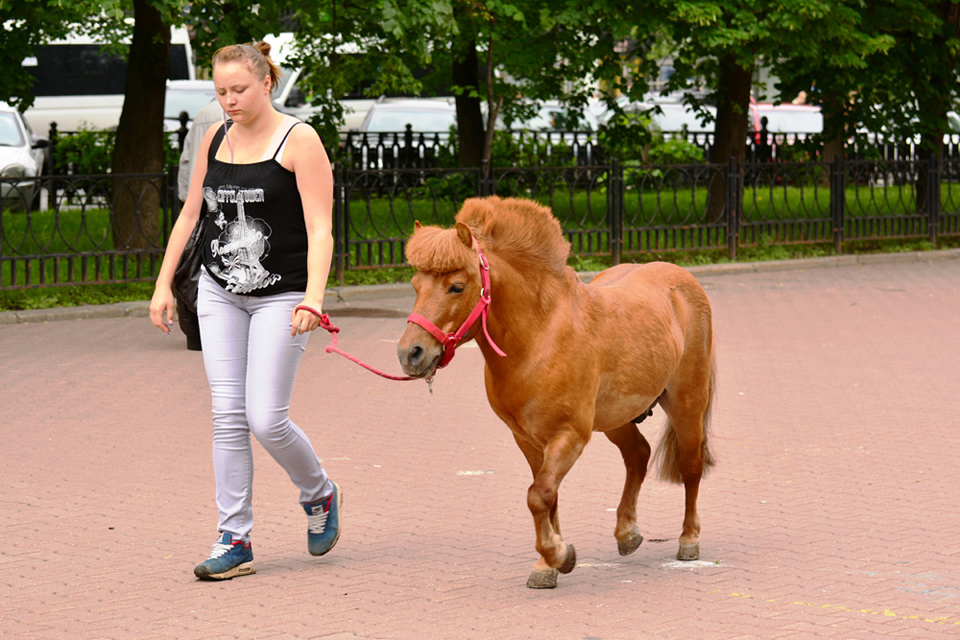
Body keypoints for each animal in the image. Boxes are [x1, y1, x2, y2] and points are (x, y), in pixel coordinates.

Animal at [394, 196, 716, 592]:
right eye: (415, 285)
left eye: (456, 286)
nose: (410, 353)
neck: (539, 336)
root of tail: (683, 281)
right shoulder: (529, 440)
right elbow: (549, 497)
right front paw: (548, 564)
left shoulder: (569, 435)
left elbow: (539, 495)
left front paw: (560, 556)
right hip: (615, 417)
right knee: (638, 455)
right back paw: (627, 533)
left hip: (687, 403)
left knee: (690, 466)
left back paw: (689, 540)